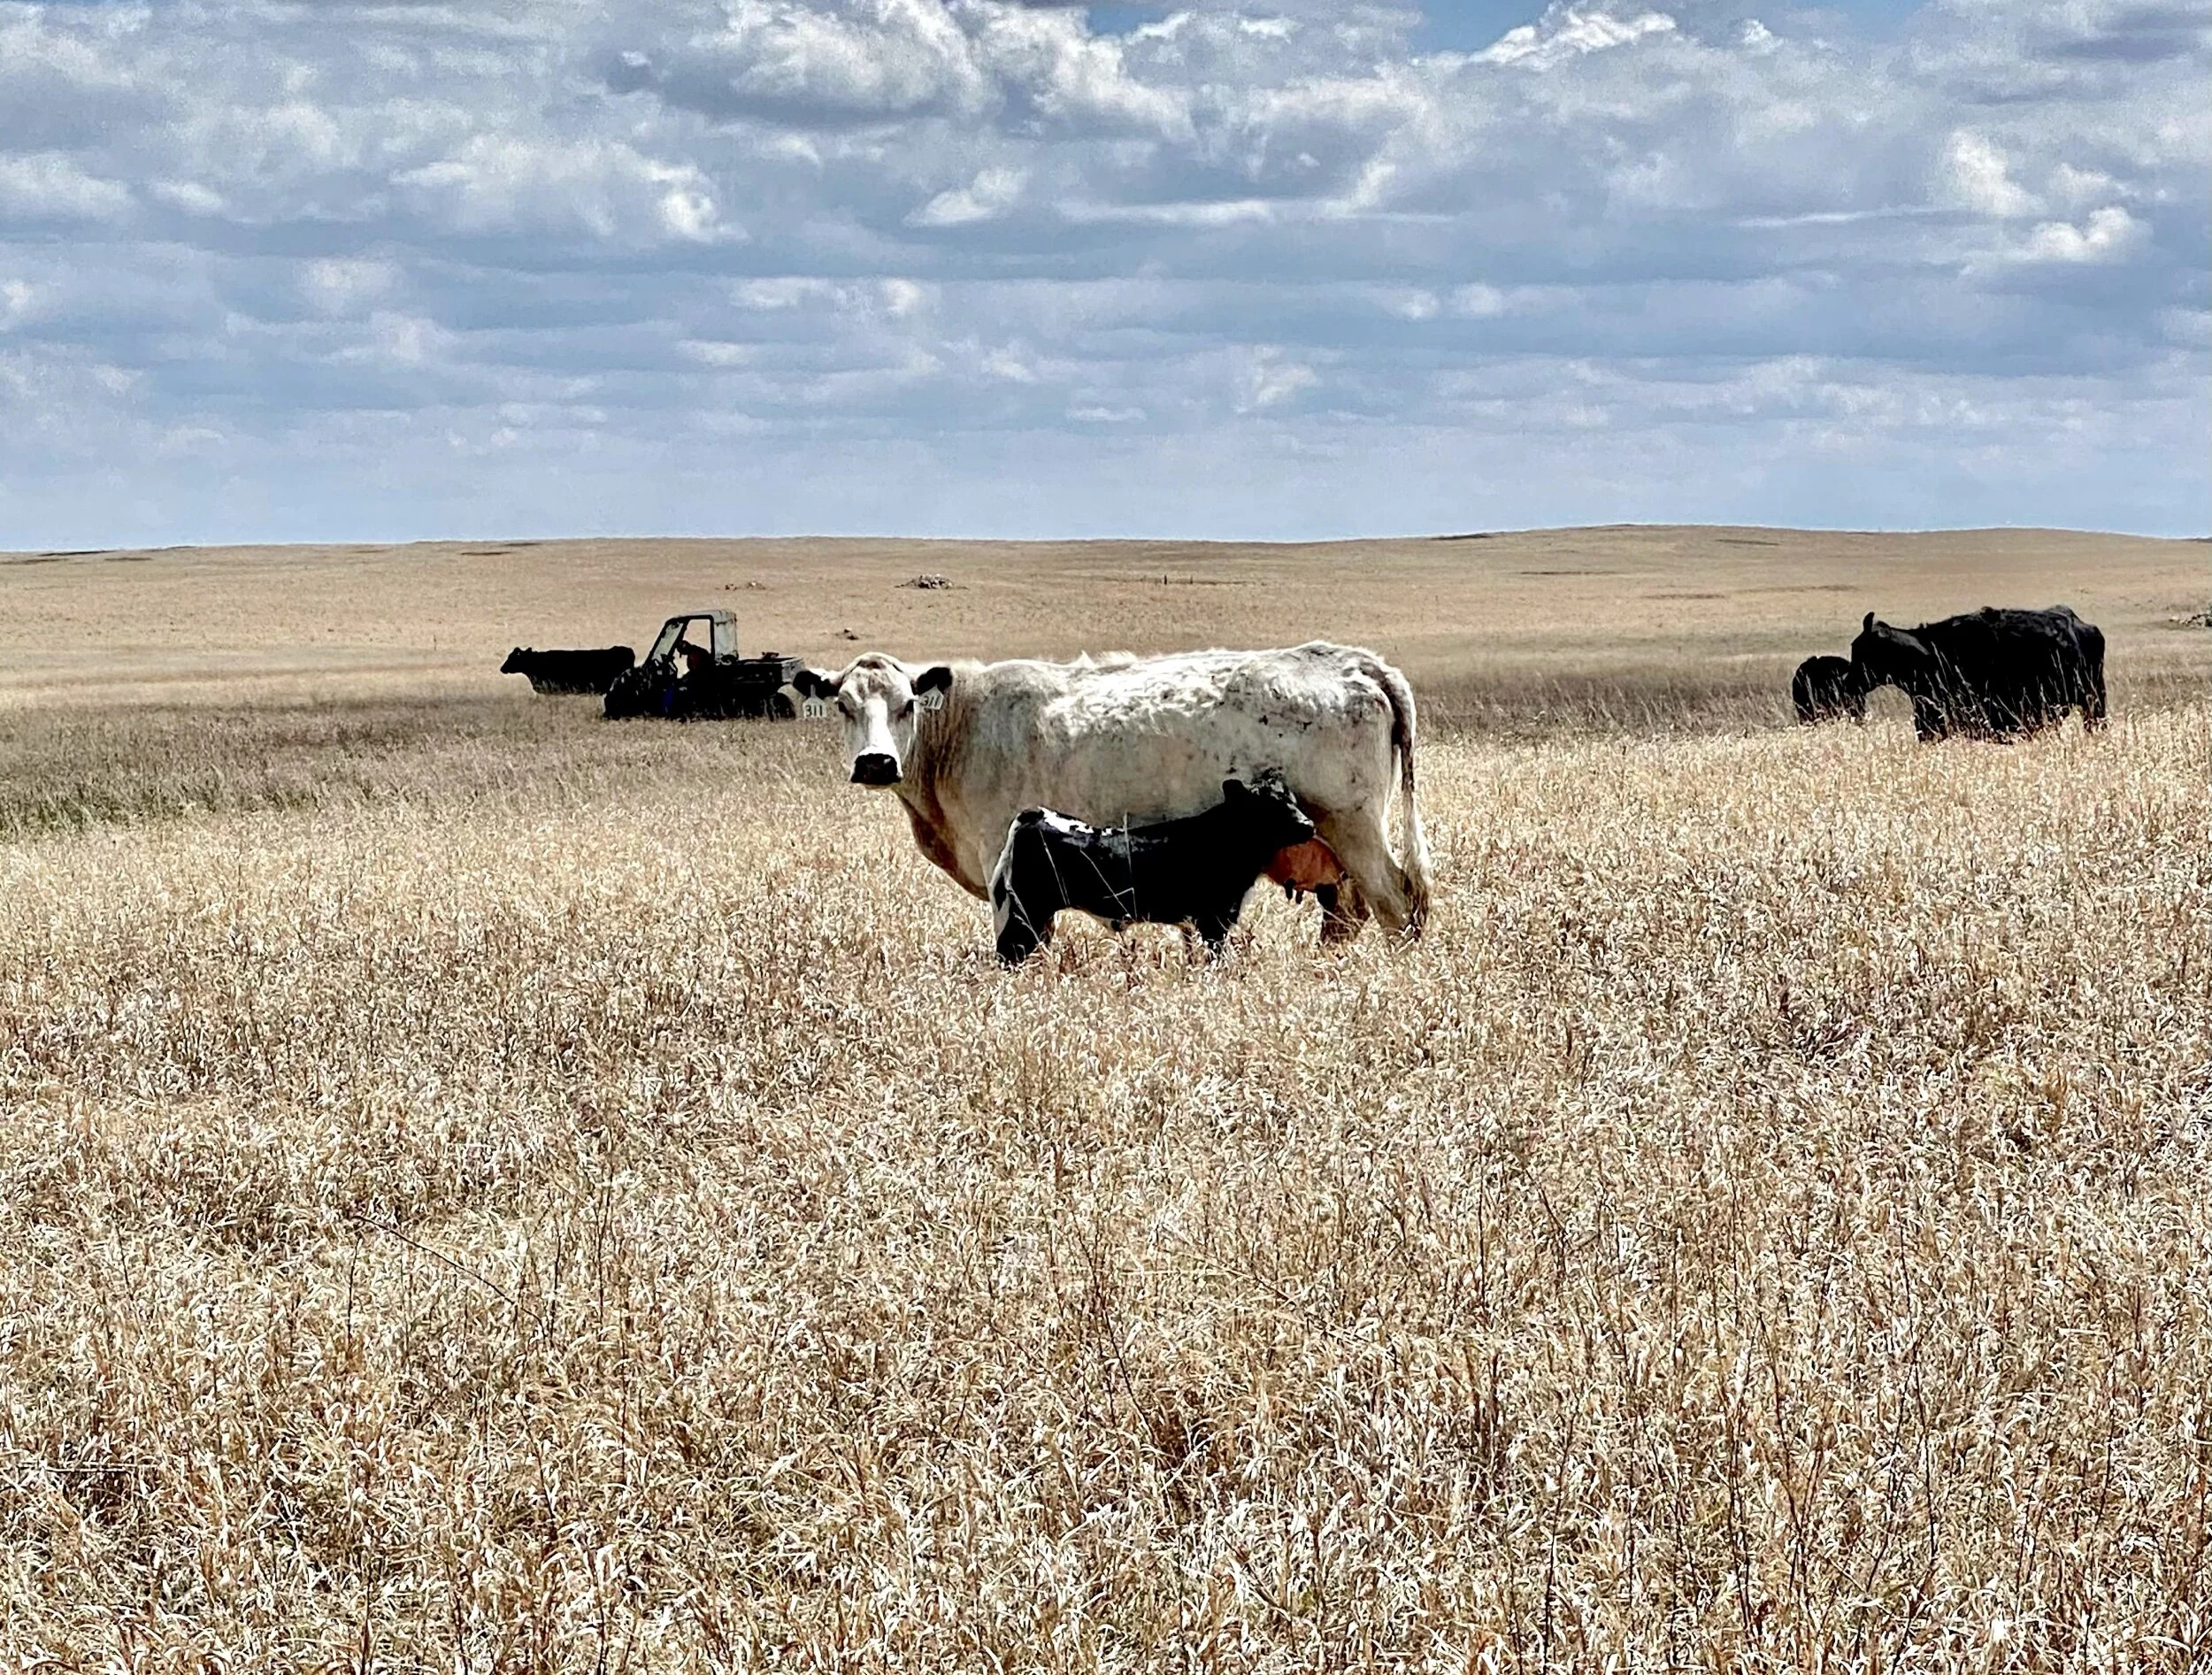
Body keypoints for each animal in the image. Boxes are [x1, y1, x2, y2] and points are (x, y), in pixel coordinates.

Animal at [791, 642, 1431, 941]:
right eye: (842, 705)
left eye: (907, 704)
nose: (876, 762)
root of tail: (1353, 660)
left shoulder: (1007, 863)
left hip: (1354, 829)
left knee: (1396, 905)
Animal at [988, 773, 1319, 963]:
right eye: (1268, 806)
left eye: (1292, 800)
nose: (1308, 825)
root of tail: (1037, 814)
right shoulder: (1213, 918)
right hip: (1025, 912)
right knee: (1007, 952)